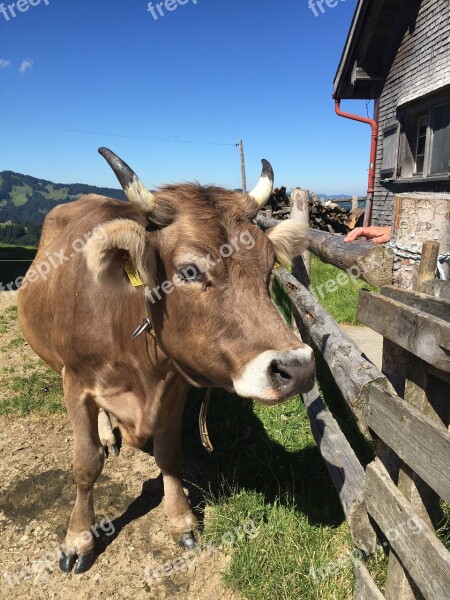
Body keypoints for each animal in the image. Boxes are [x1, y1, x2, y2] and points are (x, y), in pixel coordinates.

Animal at [17, 148, 312, 576]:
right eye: (189, 270)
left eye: (270, 264)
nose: (298, 367)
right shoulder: (76, 382)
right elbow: (85, 464)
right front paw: (78, 537)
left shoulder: (174, 385)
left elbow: (169, 453)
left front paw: (180, 519)